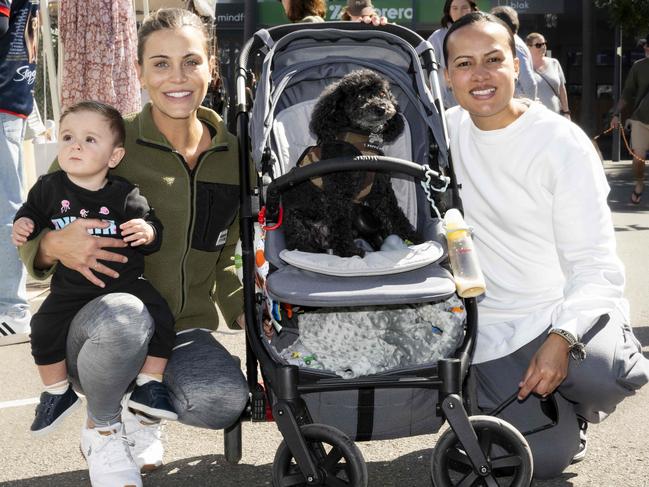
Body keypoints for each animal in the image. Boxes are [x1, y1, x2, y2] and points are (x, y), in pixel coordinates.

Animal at [282, 70, 420, 260]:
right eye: (359, 96)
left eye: (382, 93)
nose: (381, 108)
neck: (362, 139)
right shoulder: (339, 192)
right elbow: (340, 223)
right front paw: (349, 252)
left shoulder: (381, 190)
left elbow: (395, 214)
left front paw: (413, 237)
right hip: (298, 224)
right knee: (304, 243)